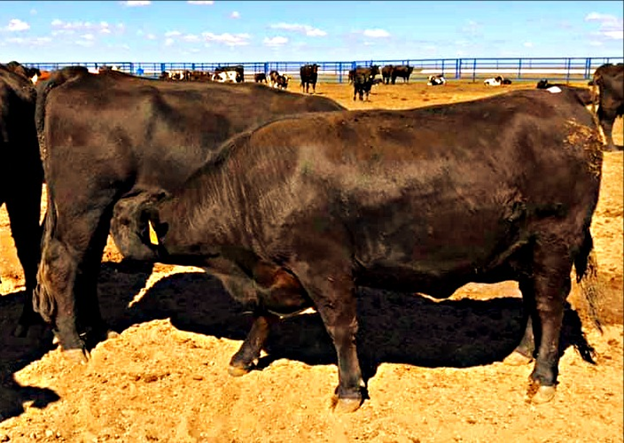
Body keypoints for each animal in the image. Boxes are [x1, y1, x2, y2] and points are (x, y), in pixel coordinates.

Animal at [31, 66, 346, 358]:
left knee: (87, 263)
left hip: (95, 209)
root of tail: (80, 75)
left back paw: (97, 328)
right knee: (63, 263)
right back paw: (73, 343)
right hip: (83, 204)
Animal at [119, 86, 604, 412]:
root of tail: (566, 101)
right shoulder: (274, 272)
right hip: (526, 249)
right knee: (531, 300)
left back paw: (542, 377)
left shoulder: (323, 267)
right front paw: (243, 357)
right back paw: (521, 352)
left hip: (555, 242)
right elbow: (263, 315)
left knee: (549, 306)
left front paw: (349, 390)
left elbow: (340, 328)